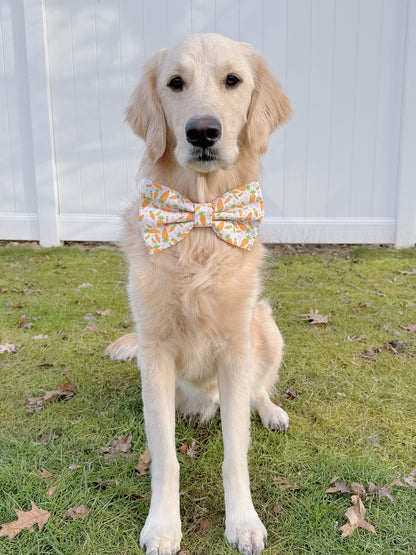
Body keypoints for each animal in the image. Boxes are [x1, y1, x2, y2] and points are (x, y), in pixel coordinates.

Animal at [105, 32, 290, 552]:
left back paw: (271, 411)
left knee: (257, 392)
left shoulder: (235, 348)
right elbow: (165, 458)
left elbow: (235, 454)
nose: (202, 132)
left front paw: (243, 521)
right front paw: (163, 526)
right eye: (175, 83)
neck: (201, 223)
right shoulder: (155, 354)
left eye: (233, 80)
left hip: (265, 325)